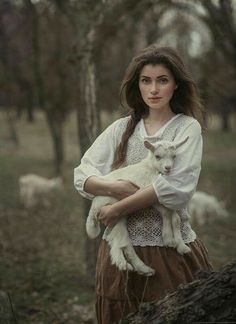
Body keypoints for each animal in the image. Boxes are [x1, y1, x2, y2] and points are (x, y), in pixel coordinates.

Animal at [85, 137, 191, 276]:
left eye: (174, 156)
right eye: (157, 156)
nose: (168, 168)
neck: (151, 168)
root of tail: (93, 206)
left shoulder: (165, 199)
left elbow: (176, 219)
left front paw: (181, 246)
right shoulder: (151, 195)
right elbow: (167, 214)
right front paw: (169, 239)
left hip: (118, 215)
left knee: (115, 241)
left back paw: (134, 266)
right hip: (113, 209)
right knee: (123, 241)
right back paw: (130, 265)